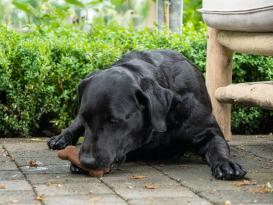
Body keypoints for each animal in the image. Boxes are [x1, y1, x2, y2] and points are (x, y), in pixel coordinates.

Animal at [47, 50, 245, 179]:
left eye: (114, 121)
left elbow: (218, 147)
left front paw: (226, 164)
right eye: (88, 118)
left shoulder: (208, 131)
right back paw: (61, 138)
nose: (86, 161)